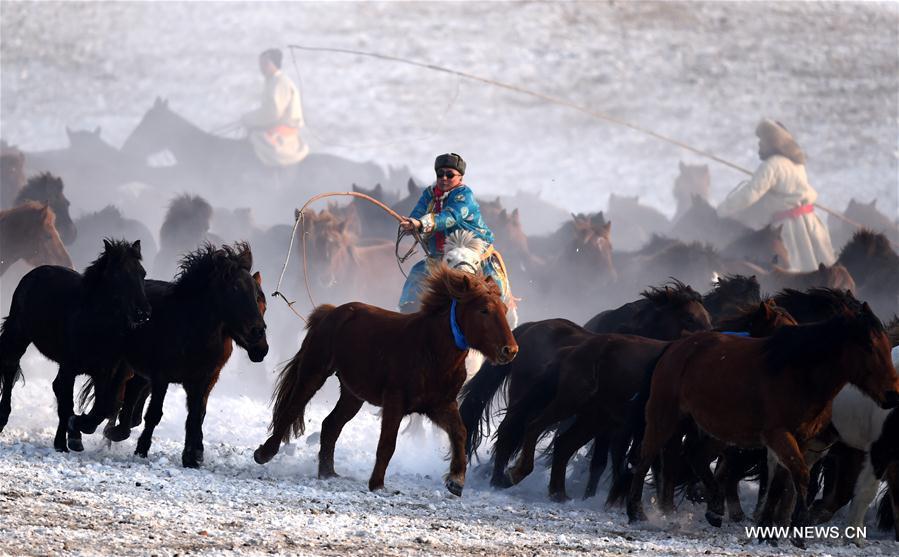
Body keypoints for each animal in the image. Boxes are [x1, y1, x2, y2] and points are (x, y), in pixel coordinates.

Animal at [0, 239, 149, 452]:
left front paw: (77, 430)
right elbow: (67, 403)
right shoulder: (69, 367)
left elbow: (102, 407)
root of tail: (34, 273)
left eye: (142, 273)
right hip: (18, 335)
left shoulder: (104, 372)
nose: (143, 313)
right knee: (10, 368)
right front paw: (66, 441)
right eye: (119, 275)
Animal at [94, 242, 267, 468]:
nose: (259, 338)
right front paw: (141, 450)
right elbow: (155, 415)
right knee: (121, 396)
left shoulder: (201, 380)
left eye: (258, 296)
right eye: (235, 289)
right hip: (127, 366)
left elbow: (194, 416)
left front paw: (192, 458)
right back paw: (111, 433)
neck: (191, 329)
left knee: (132, 397)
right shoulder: (161, 377)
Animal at [253, 266, 517, 496]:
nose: (511, 350)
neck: (430, 349)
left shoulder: (440, 405)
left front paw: (456, 481)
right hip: (314, 372)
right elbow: (388, 443)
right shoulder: (395, 401)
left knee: (331, 425)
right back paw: (264, 453)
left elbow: (459, 432)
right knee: (291, 410)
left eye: (504, 309)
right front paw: (377, 484)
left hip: (352, 394)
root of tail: (331, 312)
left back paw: (328, 473)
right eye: (484, 310)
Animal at [626, 300, 899, 546]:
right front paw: (796, 528)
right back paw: (637, 512)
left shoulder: (799, 439)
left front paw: (770, 531)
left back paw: (714, 509)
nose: (892, 395)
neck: (799, 374)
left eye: (887, 345)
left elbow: (782, 482)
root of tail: (675, 347)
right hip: (665, 417)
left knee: (696, 456)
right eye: (869, 345)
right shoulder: (779, 435)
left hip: (718, 430)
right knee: (647, 458)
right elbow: (800, 476)